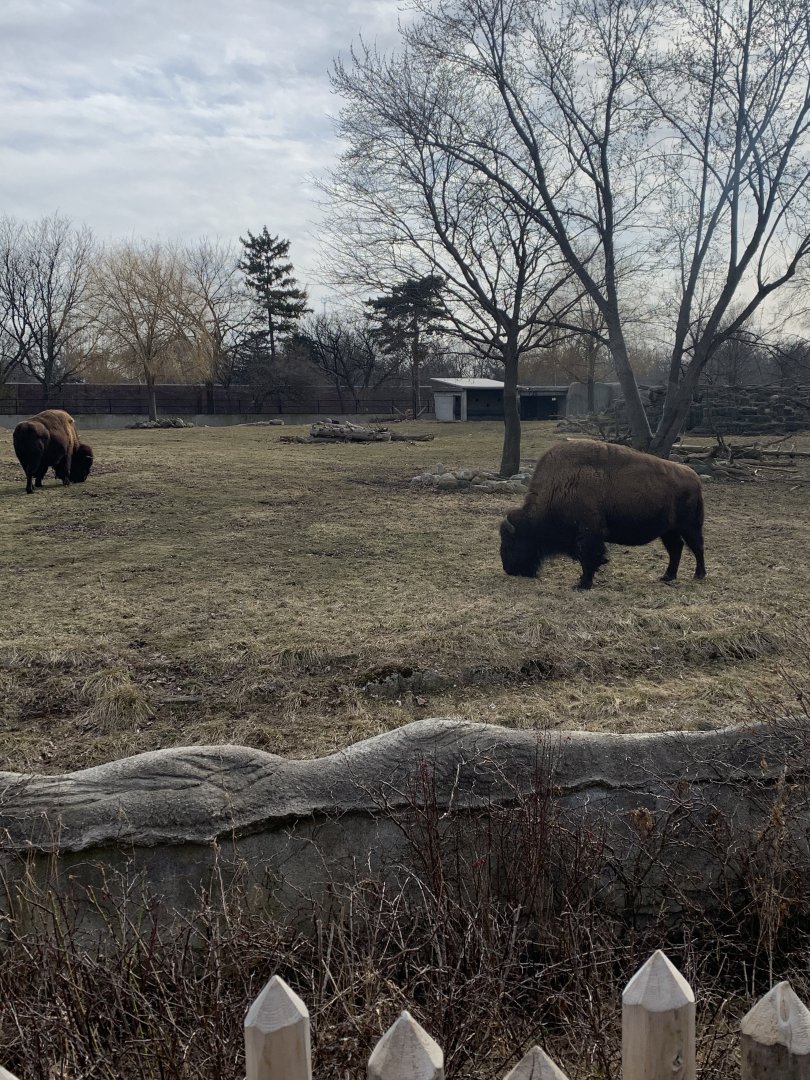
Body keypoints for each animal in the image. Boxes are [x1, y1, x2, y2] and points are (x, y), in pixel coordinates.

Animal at [500, 439, 706, 589]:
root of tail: (694, 476)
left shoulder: (589, 533)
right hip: (669, 531)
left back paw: (699, 575)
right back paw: (667, 577)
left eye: (512, 541)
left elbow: (589, 557)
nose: (508, 569)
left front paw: (582, 584)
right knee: (676, 548)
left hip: (690, 526)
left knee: (697, 547)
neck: (560, 486)